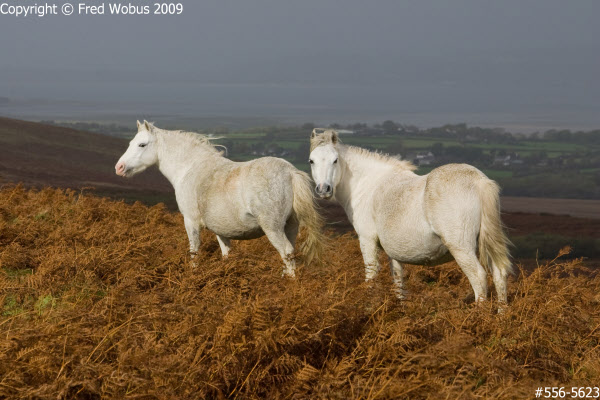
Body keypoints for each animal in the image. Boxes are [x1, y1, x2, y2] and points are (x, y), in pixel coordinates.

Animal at [116, 119, 324, 276]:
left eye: (142, 144)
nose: (119, 167)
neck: (190, 168)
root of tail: (290, 172)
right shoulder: (222, 230)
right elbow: (226, 253)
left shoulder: (190, 221)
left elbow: (194, 251)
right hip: (290, 227)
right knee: (290, 254)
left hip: (273, 228)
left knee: (286, 252)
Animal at [310, 129, 510, 304]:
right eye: (311, 161)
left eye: (335, 160)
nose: (323, 189)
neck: (369, 185)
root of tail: (479, 181)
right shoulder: (394, 254)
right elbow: (399, 283)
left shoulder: (367, 240)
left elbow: (371, 277)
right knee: (499, 274)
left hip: (461, 248)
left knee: (479, 278)